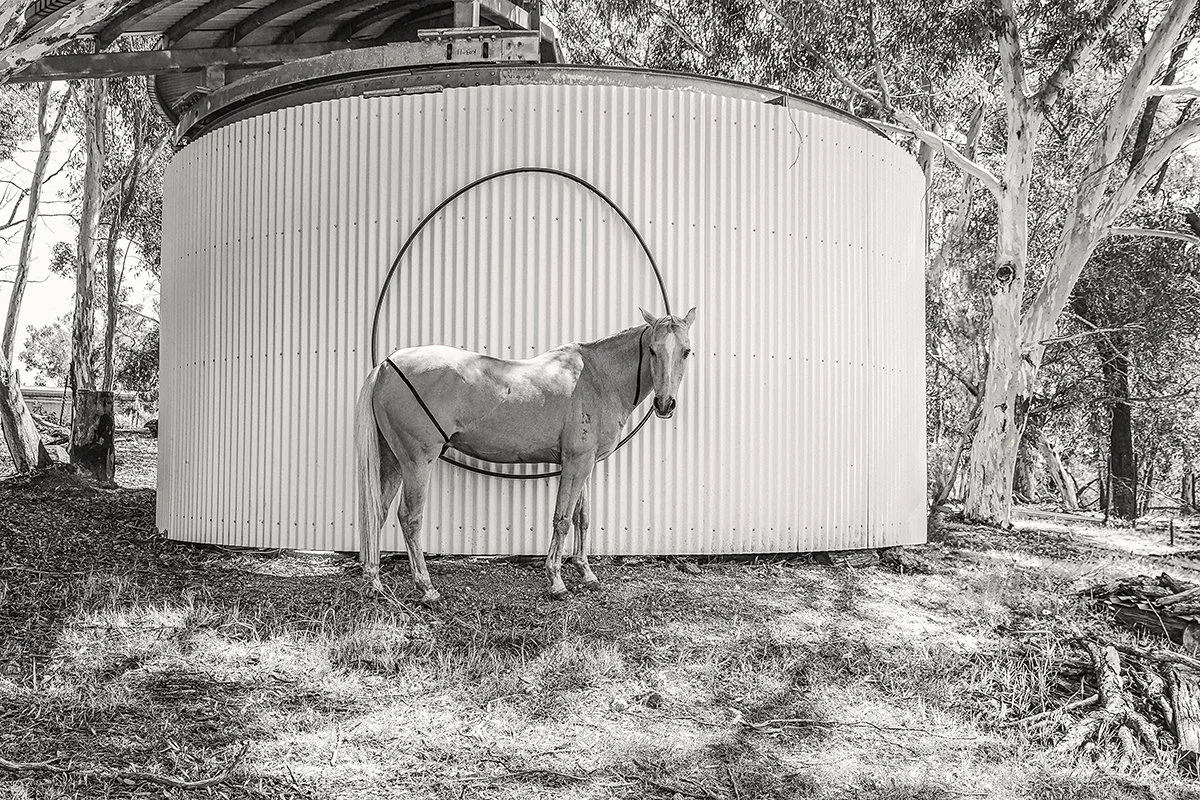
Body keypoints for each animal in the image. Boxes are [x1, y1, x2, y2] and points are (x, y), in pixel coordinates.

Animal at [354, 307, 697, 602]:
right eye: (652, 350)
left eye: (686, 351)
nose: (665, 404)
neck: (597, 378)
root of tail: (386, 365)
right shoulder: (576, 464)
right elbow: (562, 519)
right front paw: (556, 582)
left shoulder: (584, 463)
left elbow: (582, 517)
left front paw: (586, 574)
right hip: (417, 461)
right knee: (409, 518)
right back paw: (427, 589)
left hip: (393, 461)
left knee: (377, 513)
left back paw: (374, 582)